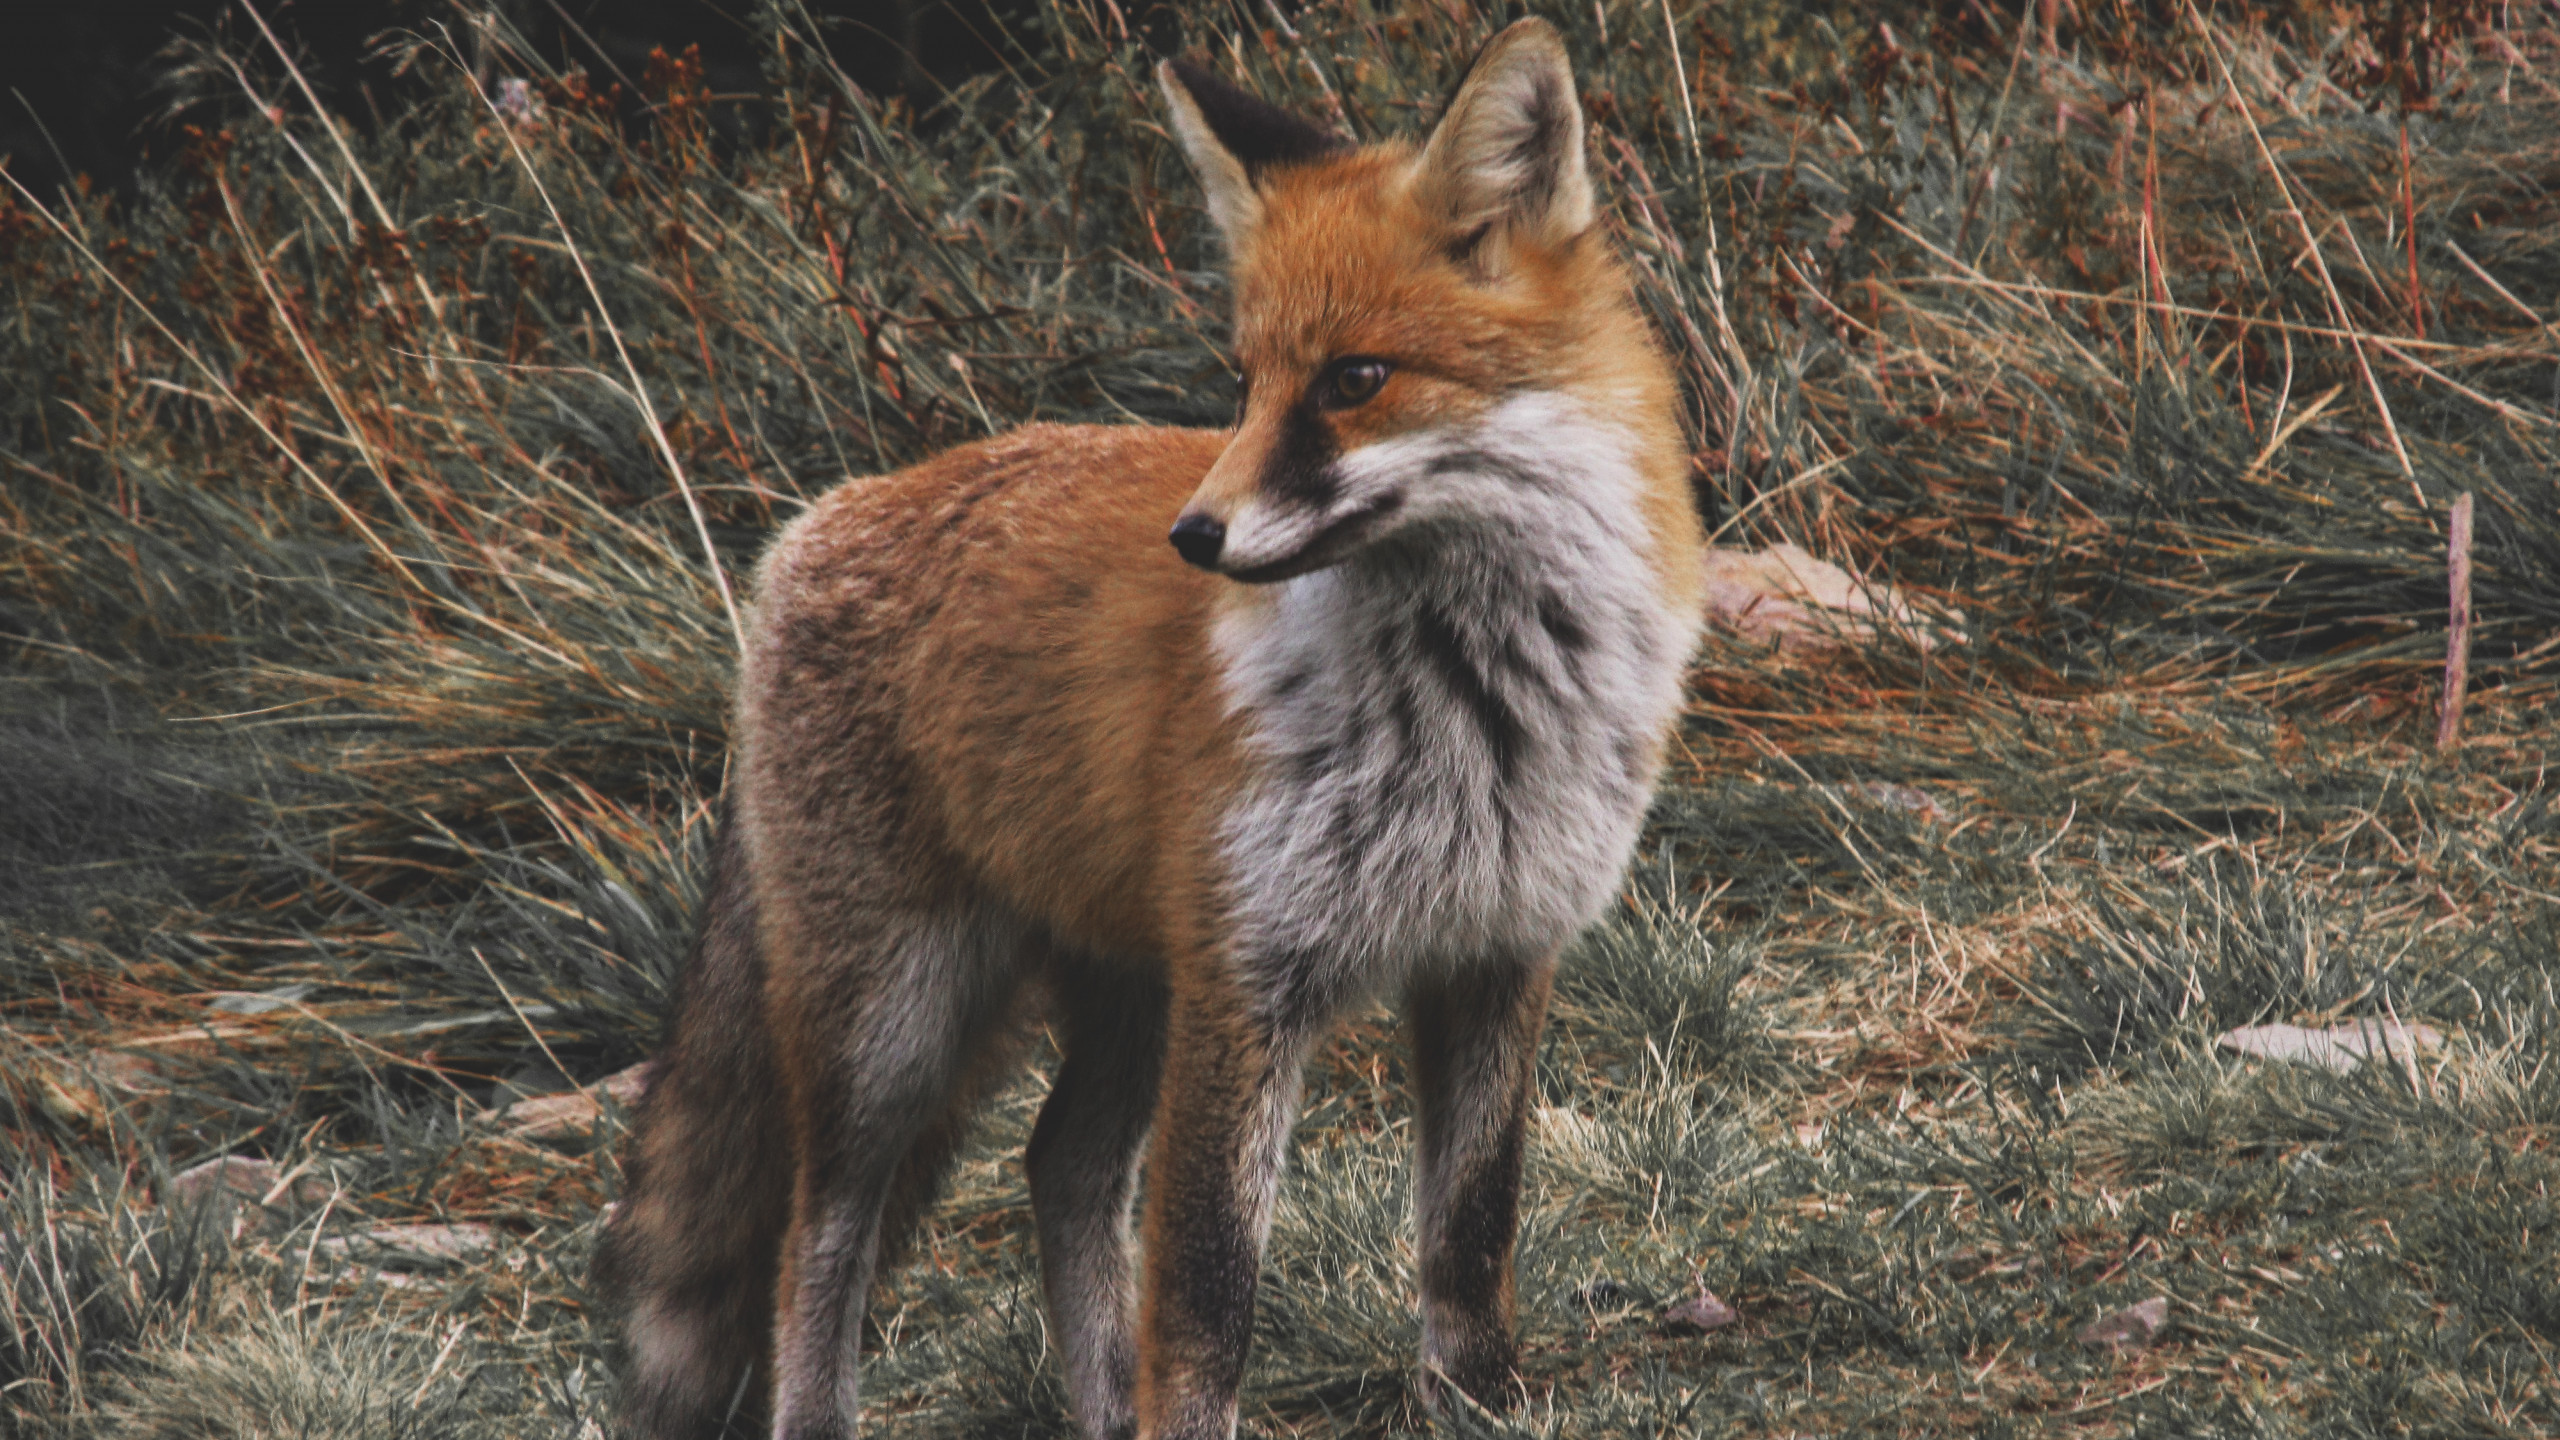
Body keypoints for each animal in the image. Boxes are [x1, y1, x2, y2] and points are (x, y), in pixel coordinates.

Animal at [595, 19, 1707, 1440]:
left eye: (1354, 380)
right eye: (1244, 383)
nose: (1195, 534)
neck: (1473, 704)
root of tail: (815, 524)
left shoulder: (1496, 951)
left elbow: (1470, 1230)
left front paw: (1479, 1405)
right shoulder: (1248, 981)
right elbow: (1206, 1294)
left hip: (1124, 990)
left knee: (1059, 1167)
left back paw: (1096, 1408)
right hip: (891, 1024)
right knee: (815, 1237)